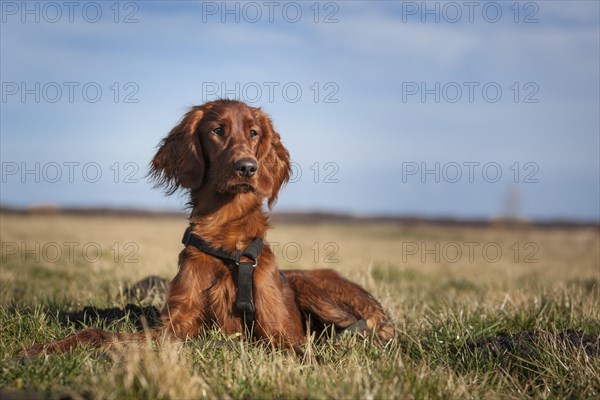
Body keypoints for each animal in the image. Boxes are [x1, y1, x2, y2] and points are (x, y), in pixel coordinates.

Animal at [19, 99, 394, 356]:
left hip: (312, 287)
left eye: (254, 133)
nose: (247, 167)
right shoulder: (173, 328)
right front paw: (42, 349)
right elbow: (100, 334)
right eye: (217, 130)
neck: (225, 239)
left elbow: (291, 349)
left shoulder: (282, 336)